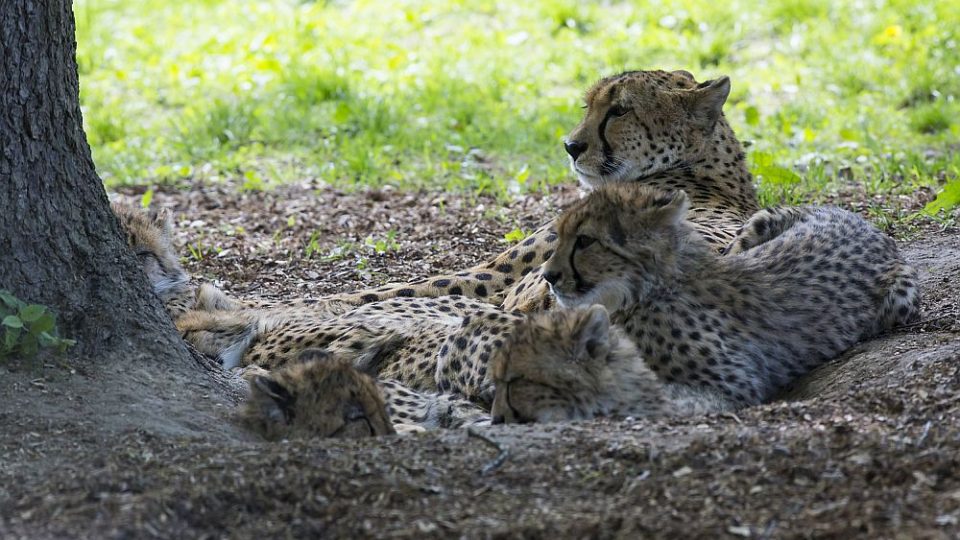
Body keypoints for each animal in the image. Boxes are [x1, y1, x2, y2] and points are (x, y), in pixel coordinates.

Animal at [520, 184, 920, 412]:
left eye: (585, 240)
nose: (549, 276)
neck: (646, 290)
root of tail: (864, 223)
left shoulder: (735, 382)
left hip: (900, 301)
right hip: (755, 224)